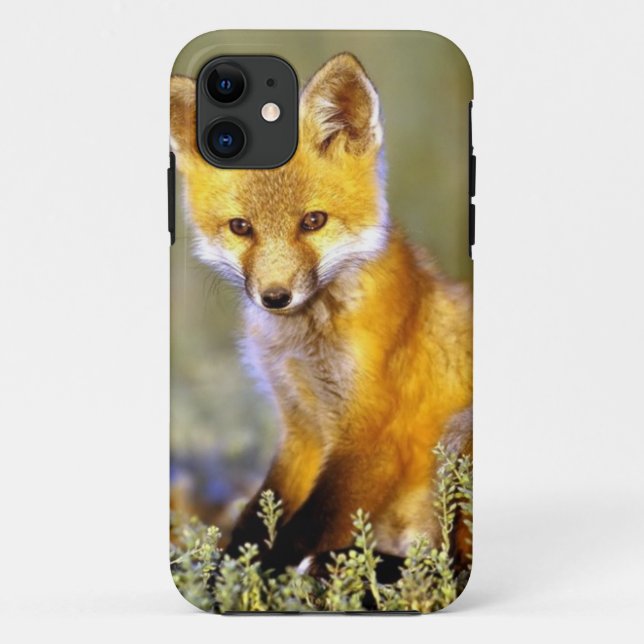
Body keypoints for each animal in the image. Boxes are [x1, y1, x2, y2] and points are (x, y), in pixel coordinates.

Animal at [170, 53, 473, 574]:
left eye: (313, 221)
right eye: (241, 227)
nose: (275, 296)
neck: (302, 348)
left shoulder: (374, 437)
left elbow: (302, 531)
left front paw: (257, 578)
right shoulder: (301, 427)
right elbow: (257, 517)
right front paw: (227, 570)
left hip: (457, 438)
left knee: (449, 565)